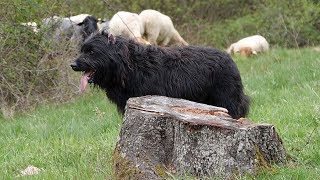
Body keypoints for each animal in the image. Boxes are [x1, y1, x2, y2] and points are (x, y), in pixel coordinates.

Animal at [70, 31, 250, 118]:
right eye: (83, 50)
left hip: (227, 100)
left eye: (92, 52)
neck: (130, 66)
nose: (73, 64)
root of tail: (229, 58)